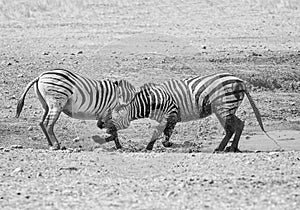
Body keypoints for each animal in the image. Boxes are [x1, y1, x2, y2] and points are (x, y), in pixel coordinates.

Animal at [102, 73, 280, 152]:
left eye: (110, 115)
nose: (99, 124)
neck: (150, 101)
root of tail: (240, 81)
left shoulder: (171, 113)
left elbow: (164, 132)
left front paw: (165, 144)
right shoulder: (164, 117)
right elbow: (158, 131)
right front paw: (150, 146)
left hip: (223, 106)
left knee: (231, 128)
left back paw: (220, 148)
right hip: (226, 107)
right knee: (239, 124)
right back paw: (232, 148)